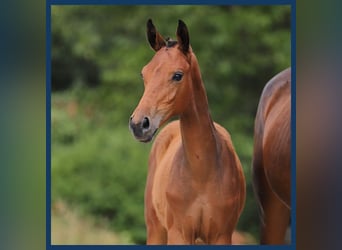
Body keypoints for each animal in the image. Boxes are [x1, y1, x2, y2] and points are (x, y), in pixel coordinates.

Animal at [129, 19, 246, 244]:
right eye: (143, 73)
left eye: (177, 75)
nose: (139, 124)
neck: (202, 174)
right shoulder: (179, 233)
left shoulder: (221, 235)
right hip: (156, 228)